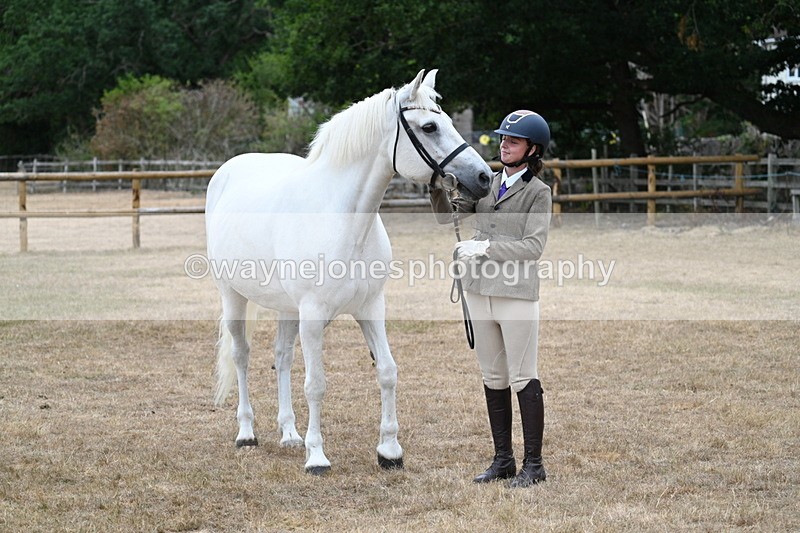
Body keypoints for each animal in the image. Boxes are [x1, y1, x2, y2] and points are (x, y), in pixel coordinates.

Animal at [205, 69, 492, 474]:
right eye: (430, 126)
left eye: (450, 121)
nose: (484, 177)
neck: (344, 220)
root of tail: (228, 170)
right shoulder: (312, 316)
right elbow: (316, 384)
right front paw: (317, 457)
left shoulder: (371, 308)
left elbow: (387, 371)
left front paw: (390, 451)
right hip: (233, 296)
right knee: (241, 355)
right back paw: (247, 433)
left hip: (287, 309)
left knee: (282, 358)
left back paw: (289, 434)